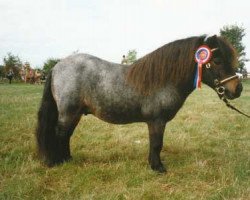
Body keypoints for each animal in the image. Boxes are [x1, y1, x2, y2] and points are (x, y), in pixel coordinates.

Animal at [35, 35, 242, 173]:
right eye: (217, 60)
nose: (237, 89)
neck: (163, 79)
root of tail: (56, 67)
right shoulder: (157, 121)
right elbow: (157, 143)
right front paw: (158, 167)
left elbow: (154, 143)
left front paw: (153, 164)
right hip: (68, 112)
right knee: (60, 133)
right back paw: (59, 161)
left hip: (75, 113)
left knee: (66, 135)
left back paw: (68, 158)